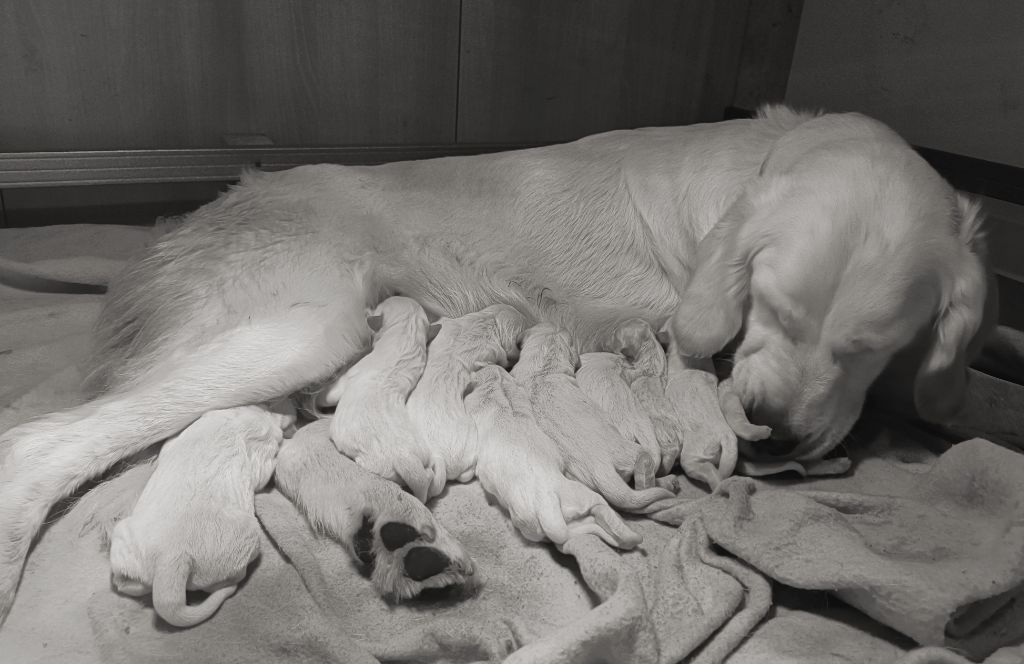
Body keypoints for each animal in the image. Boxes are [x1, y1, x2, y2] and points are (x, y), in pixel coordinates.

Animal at [109, 403, 292, 627]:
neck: (236, 419)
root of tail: (171, 558)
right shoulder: (260, 453)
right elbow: (265, 470)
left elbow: (168, 444)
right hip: (245, 541)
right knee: (225, 580)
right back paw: (230, 584)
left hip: (125, 540)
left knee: (127, 582)